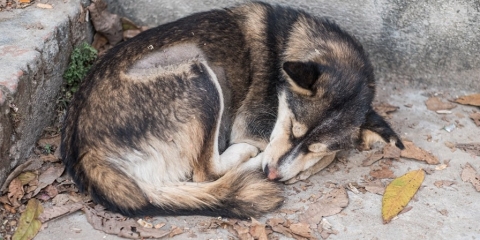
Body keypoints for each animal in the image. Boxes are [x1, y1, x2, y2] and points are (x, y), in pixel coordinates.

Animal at [62, 1, 404, 218]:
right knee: (206, 172)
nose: (272, 173)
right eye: (291, 127)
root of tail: (84, 153)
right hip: (198, 75)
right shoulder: (252, 126)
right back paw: (248, 160)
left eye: (312, 145)